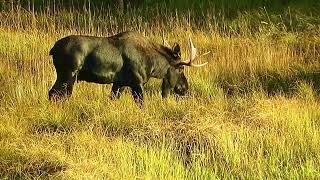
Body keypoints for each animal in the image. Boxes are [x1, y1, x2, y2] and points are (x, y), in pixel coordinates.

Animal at [48, 31, 208, 104]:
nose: (184, 88)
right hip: (68, 74)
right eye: (181, 69)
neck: (153, 65)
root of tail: (52, 49)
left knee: (53, 94)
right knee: (56, 94)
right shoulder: (137, 83)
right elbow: (142, 104)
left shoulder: (119, 83)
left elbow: (112, 99)